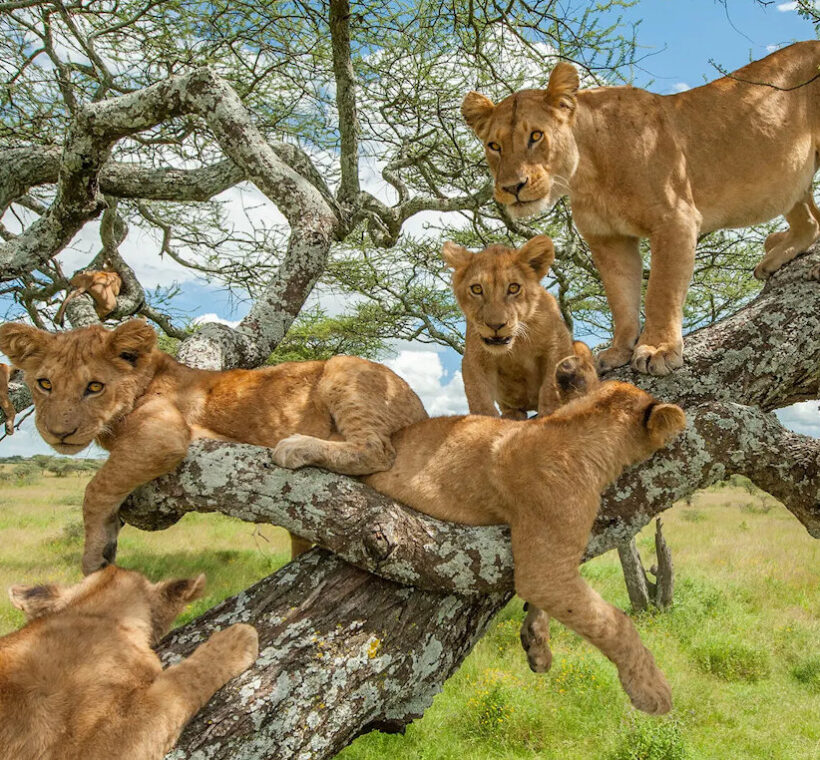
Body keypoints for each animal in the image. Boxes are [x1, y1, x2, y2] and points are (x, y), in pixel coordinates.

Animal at [0, 320, 428, 574]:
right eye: (44, 384)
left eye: (94, 387)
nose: (59, 433)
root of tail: (421, 405)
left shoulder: (166, 435)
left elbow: (96, 487)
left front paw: (93, 556)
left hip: (343, 366)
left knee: (376, 449)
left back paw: (295, 446)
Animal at [443, 234, 596, 417]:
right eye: (477, 289)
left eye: (513, 288)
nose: (495, 325)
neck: (517, 344)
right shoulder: (474, 358)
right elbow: (479, 397)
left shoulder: (559, 343)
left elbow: (550, 386)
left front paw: (549, 413)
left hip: (579, 347)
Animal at [461, 41, 820, 376]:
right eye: (494, 145)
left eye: (536, 136)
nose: (512, 187)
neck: (587, 174)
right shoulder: (608, 240)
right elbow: (621, 299)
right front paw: (619, 350)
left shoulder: (675, 219)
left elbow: (661, 291)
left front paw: (658, 349)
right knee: (810, 222)